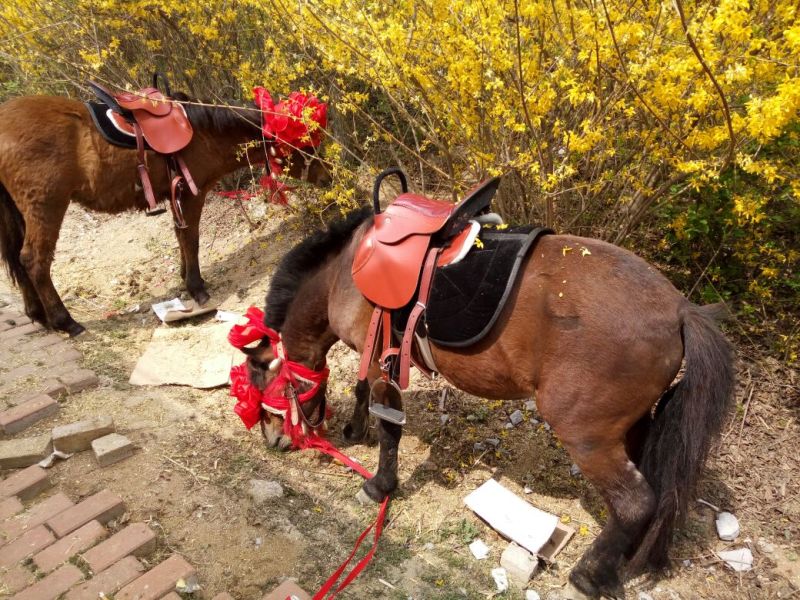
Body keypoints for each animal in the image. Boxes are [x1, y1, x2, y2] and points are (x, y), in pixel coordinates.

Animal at [0, 92, 331, 336]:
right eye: (304, 143)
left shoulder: (178, 196)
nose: (328, 177)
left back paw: (38, 315)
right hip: (46, 206)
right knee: (34, 260)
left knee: (19, 258)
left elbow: (180, 236)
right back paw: (65, 321)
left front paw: (186, 278)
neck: (203, 133)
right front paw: (196, 288)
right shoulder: (192, 193)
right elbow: (190, 238)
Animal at [237, 206, 735, 599]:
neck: (347, 270)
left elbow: (390, 428)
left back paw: (589, 577)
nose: (273, 440)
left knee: (634, 502)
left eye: (260, 376)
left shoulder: (382, 364)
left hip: (587, 436)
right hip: (631, 428)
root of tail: (681, 309)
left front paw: (379, 485)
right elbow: (362, 395)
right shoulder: (372, 358)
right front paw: (354, 431)